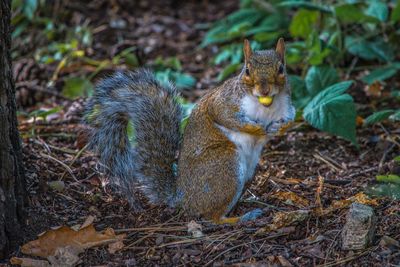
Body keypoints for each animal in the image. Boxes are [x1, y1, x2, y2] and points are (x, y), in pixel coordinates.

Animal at [84, 38, 296, 225]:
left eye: (281, 69)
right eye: (247, 70)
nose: (265, 90)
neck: (266, 107)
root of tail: (182, 198)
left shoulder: (286, 107)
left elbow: (290, 118)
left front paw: (280, 127)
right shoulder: (223, 104)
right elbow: (226, 117)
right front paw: (258, 129)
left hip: (248, 172)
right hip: (225, 163)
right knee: (212, 217)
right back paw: (241, 218)